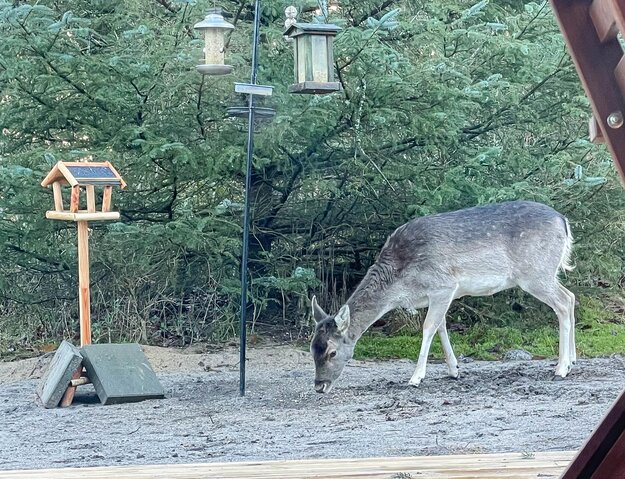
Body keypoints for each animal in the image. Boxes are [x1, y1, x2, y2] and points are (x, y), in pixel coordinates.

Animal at [308, 201, 576, 392]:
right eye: (312, 349)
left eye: (332, 352)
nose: (319, 386)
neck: (402, 285)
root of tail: (564, 221)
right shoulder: (437, 295)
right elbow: (441, 326)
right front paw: (454, 370)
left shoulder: (443, 285)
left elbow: (428, 327)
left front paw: (416, 377)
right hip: (546, 273)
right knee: (571, 296)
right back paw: (572, 361)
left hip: (535, 273)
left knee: (563, 303)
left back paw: (561, 368)